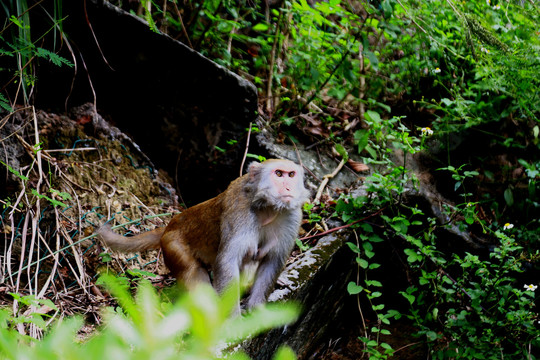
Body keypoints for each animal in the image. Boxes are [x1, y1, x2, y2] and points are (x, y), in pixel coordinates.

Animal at [97, 159, 308, 314]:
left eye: (291, 175)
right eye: (279, 174)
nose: (288, 188)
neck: (268, 208)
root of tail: (169, 227)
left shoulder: (293, 216)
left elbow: (272, 262)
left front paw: (255, 307)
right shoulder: (239, 212)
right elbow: (227, 262)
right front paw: (234, 320)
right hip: (174, 247)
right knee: (194, 273)